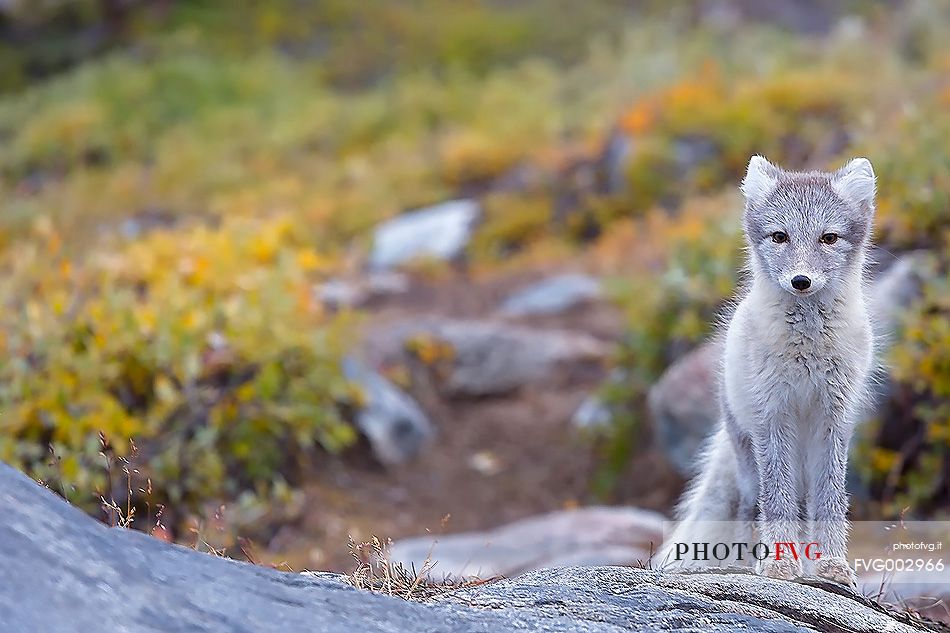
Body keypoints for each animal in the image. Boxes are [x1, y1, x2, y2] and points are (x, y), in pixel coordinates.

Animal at [660, 156, 876, 584]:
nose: (801, 280)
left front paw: (831, 565)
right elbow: (775, 502)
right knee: (751, 508)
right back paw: (744, 564)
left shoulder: (834, 419)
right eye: (779, 237)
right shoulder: (772, 417)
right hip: (749, 456)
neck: (808, 348)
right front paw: (778, 564)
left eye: (829, 238)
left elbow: (831, 500)